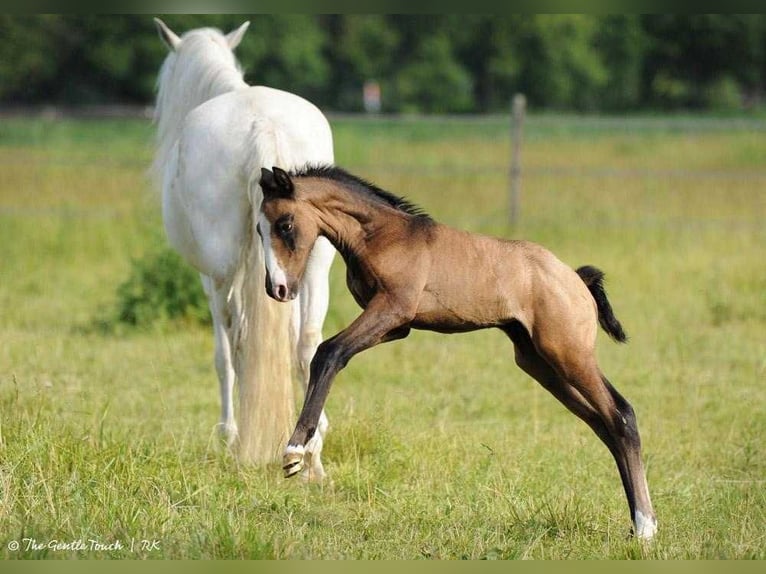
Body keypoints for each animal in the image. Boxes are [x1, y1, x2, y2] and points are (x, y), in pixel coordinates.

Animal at [153, 19, 336, 482]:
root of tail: (262, 125)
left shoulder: (209, 277)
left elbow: (223, 355)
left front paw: (228, 433)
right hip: (316, 266)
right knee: (308, 343)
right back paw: (313, 457)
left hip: (221, 274)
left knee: (236, 343)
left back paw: (241, 439)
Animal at [258, 165, 660, 540]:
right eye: (259, 230)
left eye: (285, 224)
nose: (277, 289)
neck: (381, 236)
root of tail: (576, 279)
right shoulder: (396, 327)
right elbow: (327, 352)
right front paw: (302, 451)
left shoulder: (392, 308)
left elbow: (330, 352)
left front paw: (295, 452)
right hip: (539, 362)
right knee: (602, 423)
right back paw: (636, 523)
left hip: (568, 353)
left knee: (621, 414)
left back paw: (645, 527)